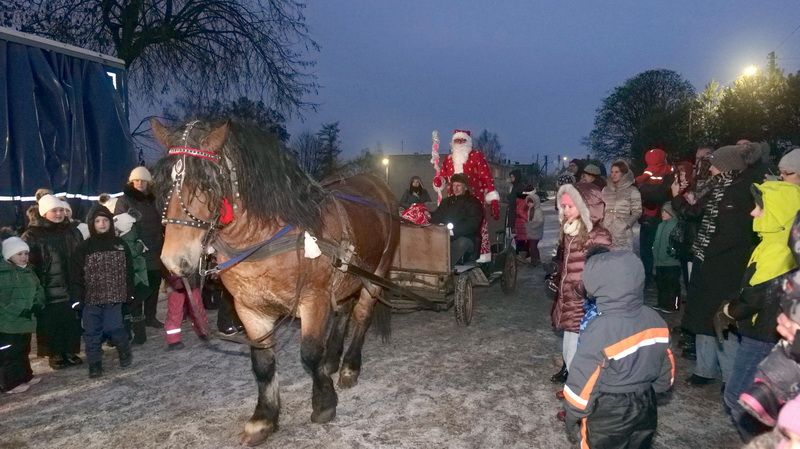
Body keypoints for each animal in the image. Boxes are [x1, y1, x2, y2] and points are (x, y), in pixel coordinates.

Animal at [148, 119, 398, 444]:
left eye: (207, 185)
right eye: (162, 187)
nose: (174, 261)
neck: (264, 238)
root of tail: (377, 182)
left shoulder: (314, 299)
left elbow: (309, 353)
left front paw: (324, 403)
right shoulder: (250, 309)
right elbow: (263, 363)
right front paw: (264, 419)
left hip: (377, 272)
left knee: (361, 316)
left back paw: (349, 367)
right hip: (348, 277)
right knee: (344, 310)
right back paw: (333, 359)